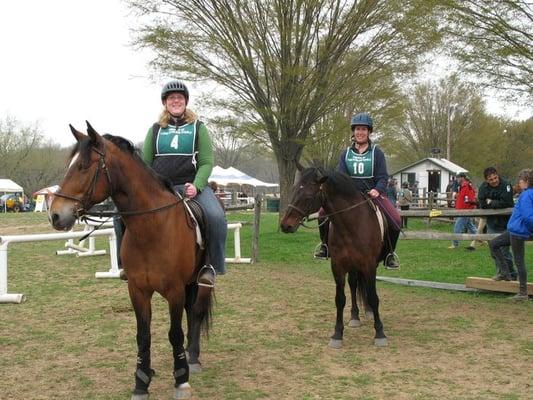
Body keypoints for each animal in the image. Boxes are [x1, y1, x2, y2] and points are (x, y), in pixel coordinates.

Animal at [48, 122, 212, 400]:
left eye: (83, 166)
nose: (56, 215)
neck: (152, 228)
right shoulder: (137, 290)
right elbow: (143, 335)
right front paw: (141, 381)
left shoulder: (175, 290)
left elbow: (174, 333)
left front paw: (181, 381)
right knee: (192, 312)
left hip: (197, 281)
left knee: (196, 312)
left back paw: (192, 359)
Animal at [280, 166, 388, 346]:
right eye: (294, 190)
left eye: (308, 196)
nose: (285, 225)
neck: (351, 226)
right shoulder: (337, 266)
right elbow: (340, 299)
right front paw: (337, 334)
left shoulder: (369, 265)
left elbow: (373, 296)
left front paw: (379, 333)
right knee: (353, 284)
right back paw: (355, 317)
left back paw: (368, 312)